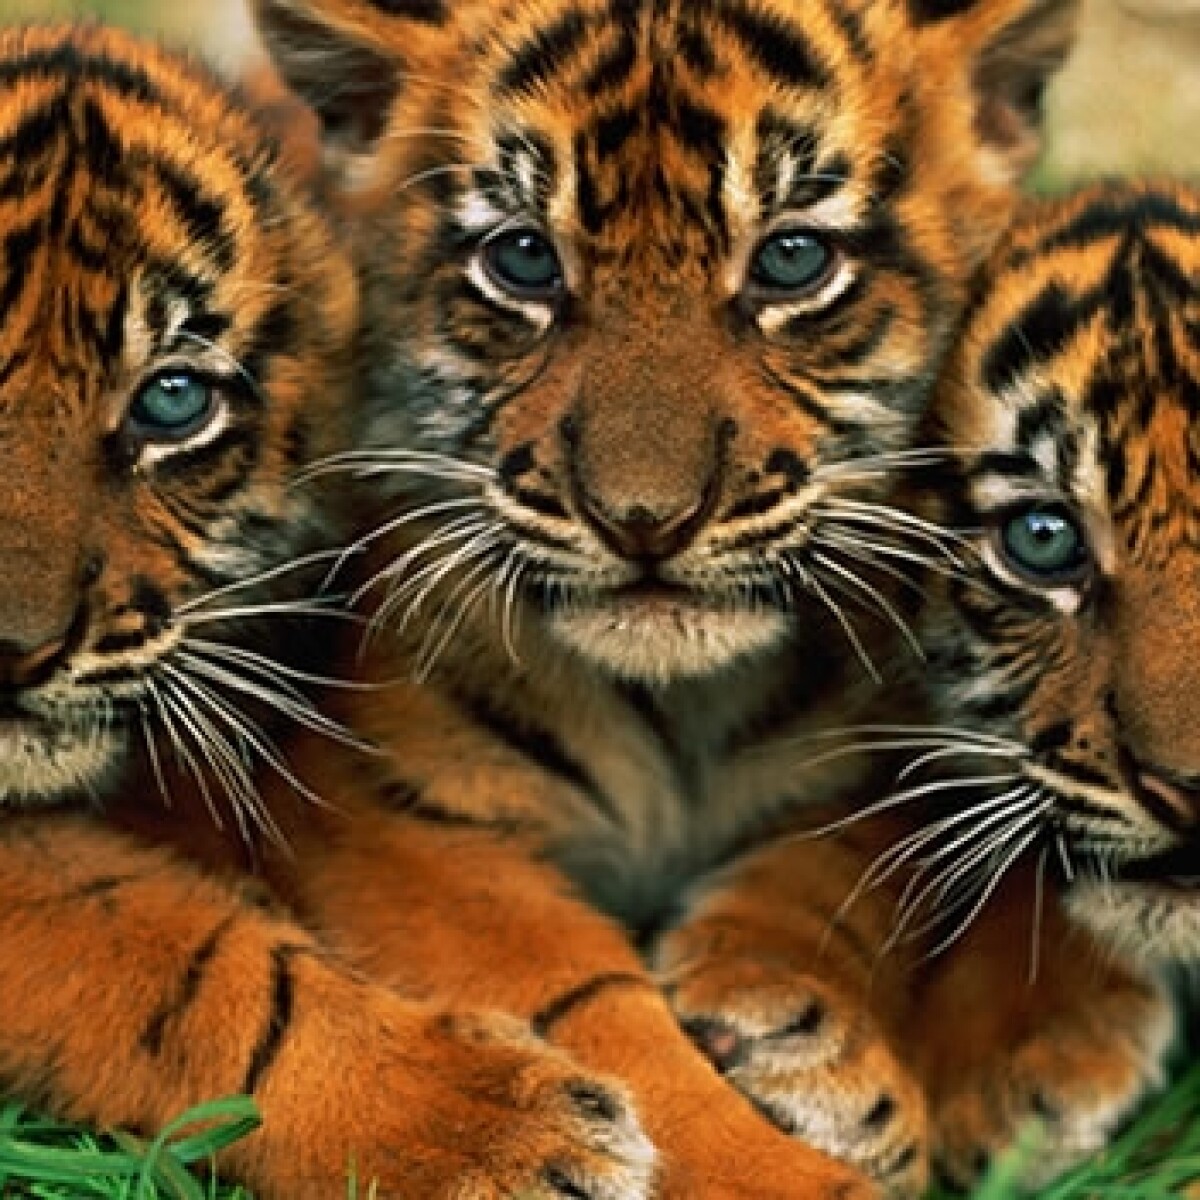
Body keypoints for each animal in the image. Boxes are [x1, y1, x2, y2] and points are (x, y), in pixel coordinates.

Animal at [242, 0, 1081, 1195]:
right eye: (524, 258)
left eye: (791, 259)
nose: (643, 520)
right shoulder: (402, 824)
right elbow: (595, 1010)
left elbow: (825, 874)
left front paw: (803, 1028)